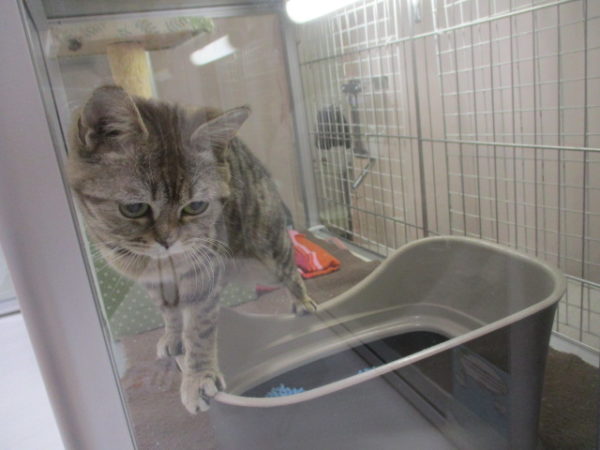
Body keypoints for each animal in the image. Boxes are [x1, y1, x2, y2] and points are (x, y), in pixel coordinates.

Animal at [67, 85, 316, 414]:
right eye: (134, 208)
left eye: (196, 206)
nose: (168, 240)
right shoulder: (154, 283)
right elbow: (170, 314)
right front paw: (174, 337)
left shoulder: (203, 271)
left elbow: (200, 328)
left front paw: (198, 378)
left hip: (267, 258)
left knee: (290, 266)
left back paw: (303, 301)